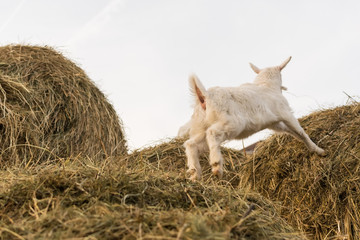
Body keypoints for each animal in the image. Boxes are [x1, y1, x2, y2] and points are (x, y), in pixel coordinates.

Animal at [180, 57, 326, 182]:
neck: (266, 85)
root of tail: (205, 96)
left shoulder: (275, 123)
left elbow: (291, 132)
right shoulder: (285, 113)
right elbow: (300, 131)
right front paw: (319, 150)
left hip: (201, 128)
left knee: (191, 143)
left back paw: (194, 174)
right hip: (232, 123)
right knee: (212, 133)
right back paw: (216, 166)